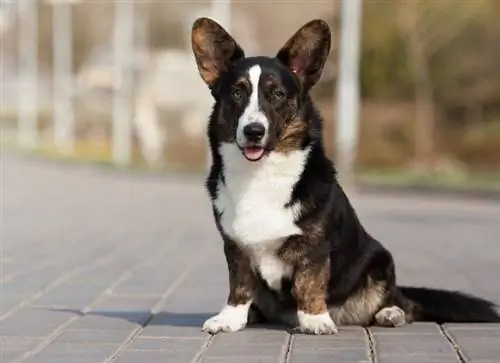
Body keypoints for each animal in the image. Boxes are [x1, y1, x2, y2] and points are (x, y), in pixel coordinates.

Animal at [188, 17, 500, 336]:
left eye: (278, 95)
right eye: (237, 93)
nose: (253, 131)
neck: (261, 174)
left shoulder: (315, 247)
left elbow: (308, 283)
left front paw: (315, 319)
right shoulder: (235, 247)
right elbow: (240, 286)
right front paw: (229, 319)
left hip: (380, 260)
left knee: (404, 303)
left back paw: (391, 313)